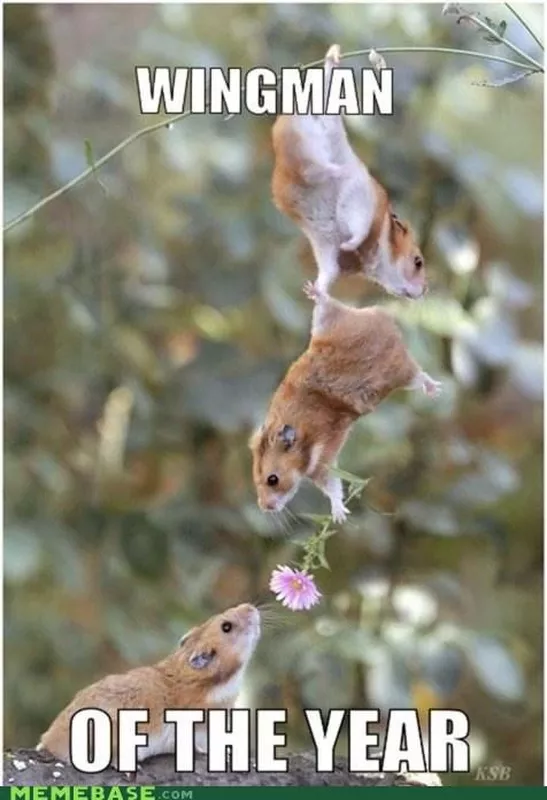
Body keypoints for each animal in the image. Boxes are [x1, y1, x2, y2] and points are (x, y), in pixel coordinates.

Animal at [250, 284, 444, 520]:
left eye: (273, 479)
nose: (264, 507)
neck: (302, 440)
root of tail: (384, 318)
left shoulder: (323, 461)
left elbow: (332, 487)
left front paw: (340, 517)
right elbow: (333, 487)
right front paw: (340, 516)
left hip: (400, 371)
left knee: (420, 376)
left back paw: (436, 391)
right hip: (326, 323)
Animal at [270, 44, 428, 300]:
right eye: (418, 262)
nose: (424, 291)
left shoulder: (326, 246)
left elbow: (328, 273)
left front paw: (312, 290)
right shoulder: (360, 204)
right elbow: (358, 231)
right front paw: (349, 245)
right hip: (315, 138)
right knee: (322, 163)